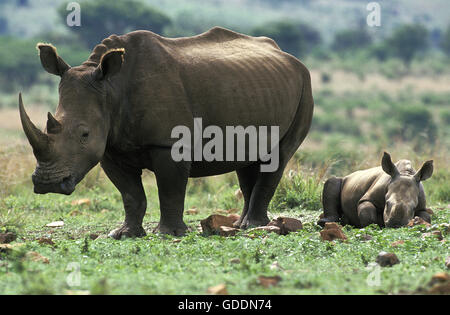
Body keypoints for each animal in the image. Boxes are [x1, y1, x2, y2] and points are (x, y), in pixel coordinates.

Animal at [18, 27, 312, 239]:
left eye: (84, 134)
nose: (47, 184)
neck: (111, 87)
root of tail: (290, 56)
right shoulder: (110, 147)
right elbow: (130, 194)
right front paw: (123, 234)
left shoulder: (168, 143)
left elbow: (170, 189)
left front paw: (169, 233)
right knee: (248, 161)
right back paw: (242, 225)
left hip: (304, 85)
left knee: (279, 156)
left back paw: (253, 226)